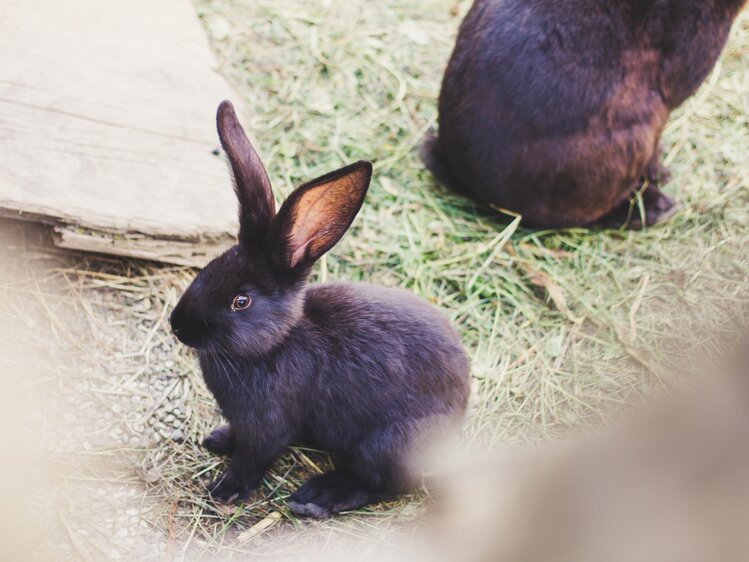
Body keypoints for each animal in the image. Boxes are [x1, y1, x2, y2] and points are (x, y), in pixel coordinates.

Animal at [172, 101, 470, 516]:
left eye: (241, 301)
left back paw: (318, 497)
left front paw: (224, 490)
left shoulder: (268, 428)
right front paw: (217, 439)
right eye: (209, 268)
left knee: (387, 486)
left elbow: (253, 459)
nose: (177, 325)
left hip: (384, 445)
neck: (275, 346)